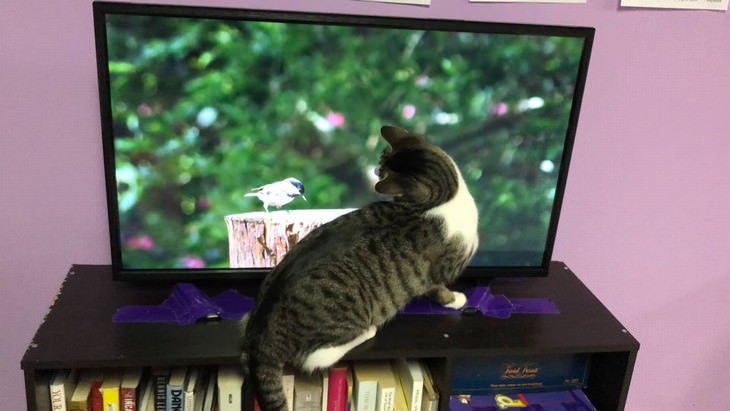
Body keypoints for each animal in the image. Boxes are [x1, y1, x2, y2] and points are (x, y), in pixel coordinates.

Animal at [239, 125, 478, 411]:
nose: (375, 172)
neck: (442, 201)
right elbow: (441, 290)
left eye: (382, 165)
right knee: (315, 358)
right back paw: (367, 331)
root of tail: (261, 342)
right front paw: (457, 299)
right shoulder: (437, 274)